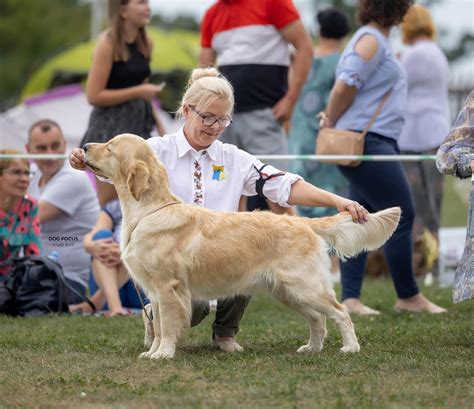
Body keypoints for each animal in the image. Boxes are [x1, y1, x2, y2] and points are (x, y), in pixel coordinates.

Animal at [82, 135, 400, 360]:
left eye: (109, 147)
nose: (84, 146)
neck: (148, 211)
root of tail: (302, 222)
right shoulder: (154, 292)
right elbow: (158, 324)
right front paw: (152, 351)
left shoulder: (168, 287)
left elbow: (168, 325)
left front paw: (163, 353)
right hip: (288, 292)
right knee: (318, 318)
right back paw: (311, 348)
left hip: (305, 286)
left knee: (340, 312)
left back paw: (350, 348)